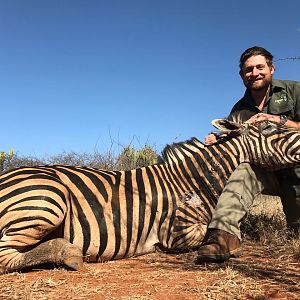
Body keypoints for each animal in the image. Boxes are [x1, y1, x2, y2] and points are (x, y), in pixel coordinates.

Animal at [0, 118, 300, 274]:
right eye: (270, 129)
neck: (194, 181)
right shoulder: (177, 232)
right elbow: (211, 232)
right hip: (49, 201)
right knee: (5, 256)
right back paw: (69, 253)